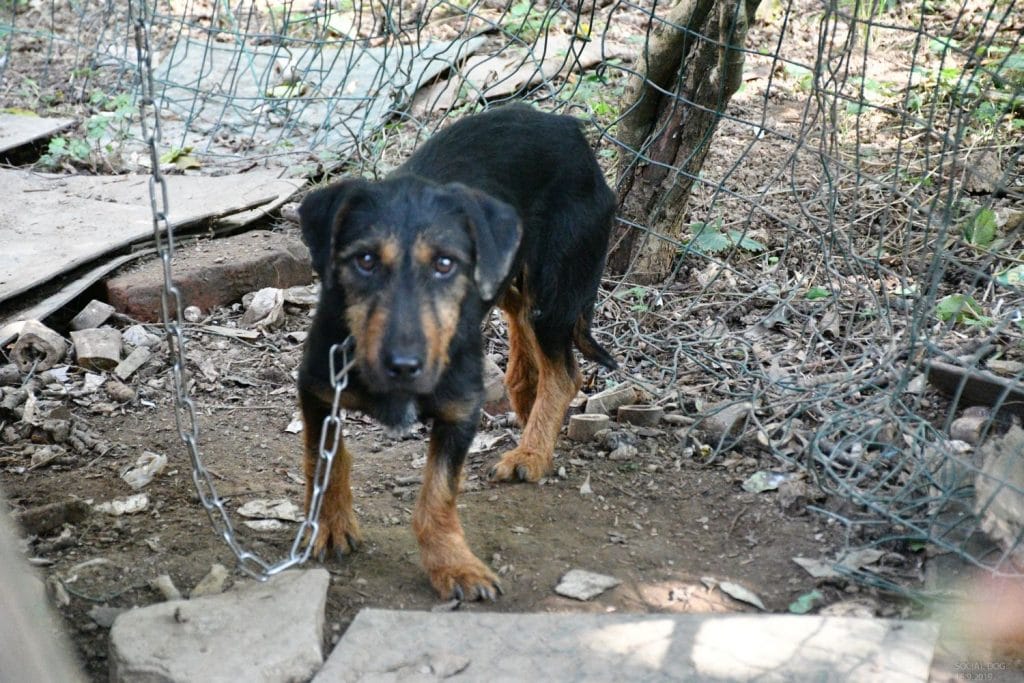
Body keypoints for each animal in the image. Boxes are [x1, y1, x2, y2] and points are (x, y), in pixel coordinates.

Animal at [296, 104, 614, 602]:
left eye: (446, 264)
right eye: (365, 260)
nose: (404, 364)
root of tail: (564, 124)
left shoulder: (460, 411)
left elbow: (437, 496)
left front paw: (454, 565)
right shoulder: (316, 387)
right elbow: (322, 458)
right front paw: (329, 525)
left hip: (556, 287)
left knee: (564, 372)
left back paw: (532, 452)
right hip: (514, 280)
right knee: (523, 337)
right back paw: (528, 413)